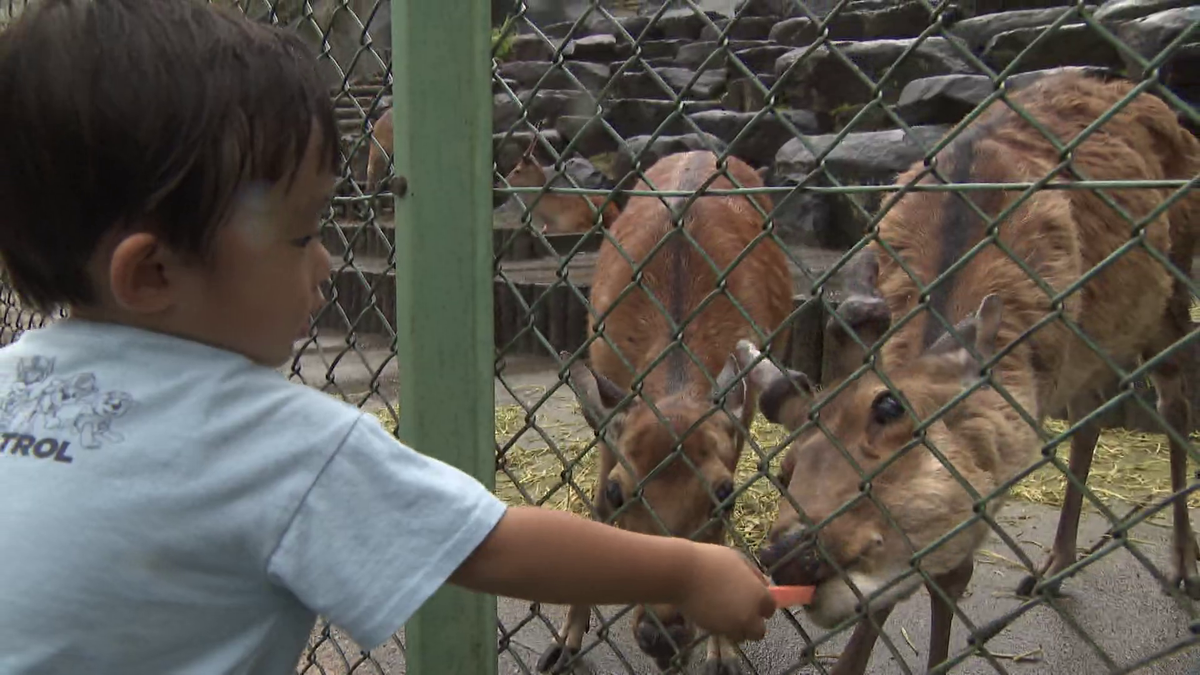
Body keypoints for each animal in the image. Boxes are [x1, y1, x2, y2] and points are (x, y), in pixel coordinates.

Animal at [739, 69, 1190, 672]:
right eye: (785, 472)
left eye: (890, 409)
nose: (789, 556)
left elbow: (950, 573)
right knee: (1092, 413)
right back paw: (1053, 566)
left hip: (1176, 280)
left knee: (1174, 399)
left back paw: (1182, 565)